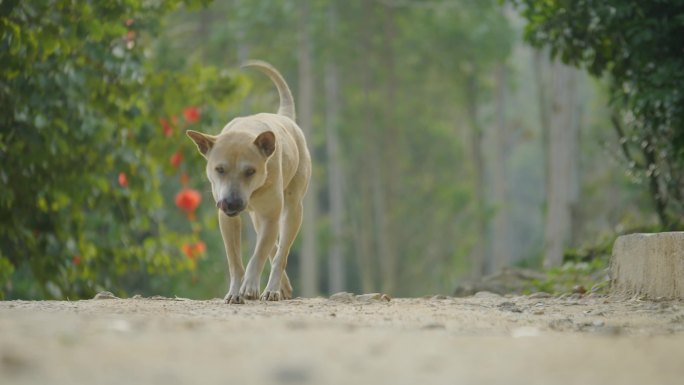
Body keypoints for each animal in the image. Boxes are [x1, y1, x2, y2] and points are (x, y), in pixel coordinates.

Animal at [190, 60, 312, 304]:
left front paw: (250, 286)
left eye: (250, 171)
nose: (231, 203)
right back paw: (283, 286)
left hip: (293, 208)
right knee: (273, 246)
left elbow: (259, 254)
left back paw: (273, 289)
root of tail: (285, 117)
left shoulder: (271, 215)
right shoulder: (226, 219)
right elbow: (235, 260)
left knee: (281, 249)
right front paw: (235, 291)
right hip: (256, 216)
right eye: (219, 169)